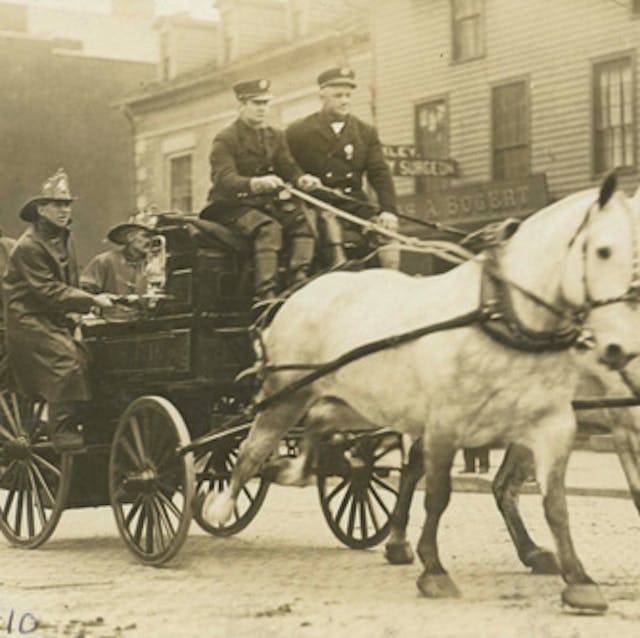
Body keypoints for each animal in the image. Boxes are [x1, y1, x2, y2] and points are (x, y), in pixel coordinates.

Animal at [204, 175, 640, 616]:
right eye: (604, 250)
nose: (619, 348)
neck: (504, 315)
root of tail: (305, 289)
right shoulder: (446, 422)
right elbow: (438, 496)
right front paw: (434, 570)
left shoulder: (553, 423)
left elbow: (556, 505)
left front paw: (580, 581)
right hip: (285, 394)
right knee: (252, 450)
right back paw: (225, 504)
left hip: (361, 402)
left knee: (324, 422)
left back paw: (306, 468)